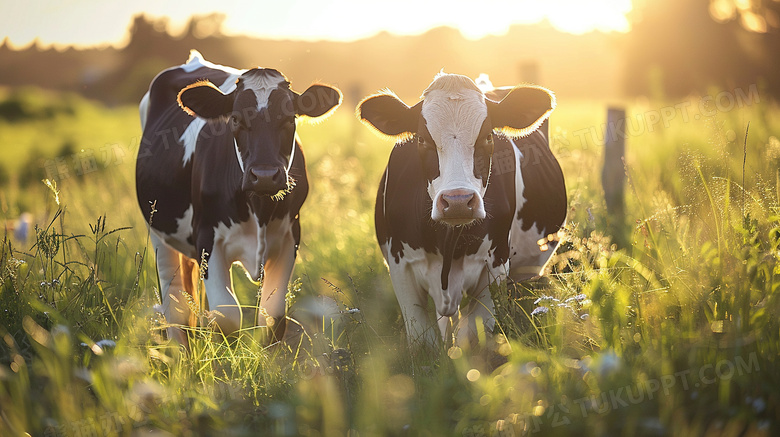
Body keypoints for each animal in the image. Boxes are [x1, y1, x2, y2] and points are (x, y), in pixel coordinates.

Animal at [136, 50, 342, 344]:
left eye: (290, 119)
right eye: (234, 120)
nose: (265, 175)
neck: (259, 208)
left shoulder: (291, 236)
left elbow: (273, 317)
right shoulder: (207, 237)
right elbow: (227, 316)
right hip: (157, 229)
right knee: (175, 302)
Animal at [356, 73, 564, 350]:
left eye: (488, 137)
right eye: (422, 139)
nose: (457, 200)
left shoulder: (495, 267)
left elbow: (472, 339)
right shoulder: (401, 268)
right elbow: (424, 343)